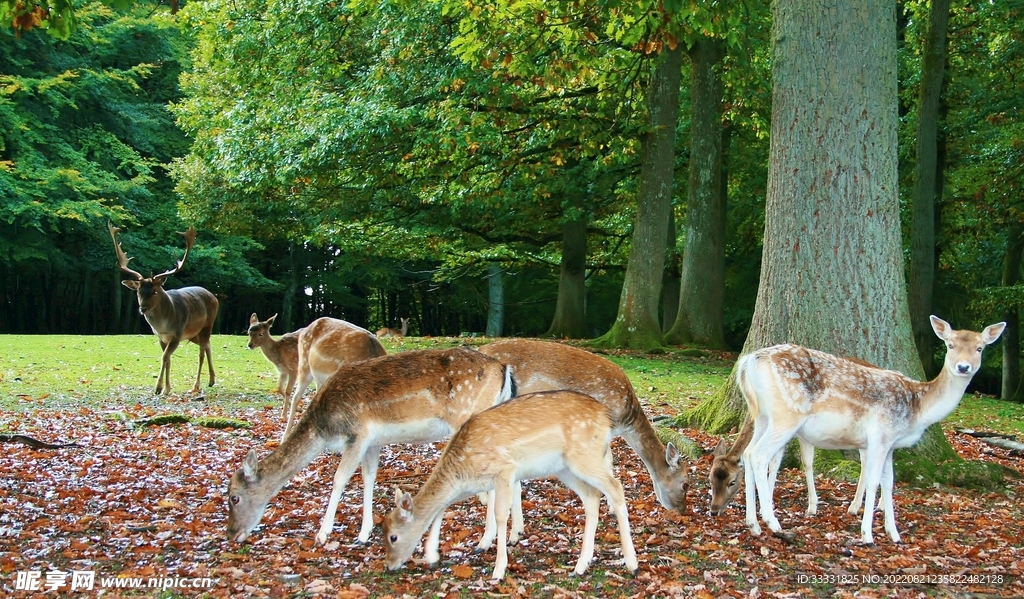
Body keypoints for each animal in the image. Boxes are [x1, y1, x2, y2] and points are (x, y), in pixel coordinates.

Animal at [108, 221, 219, 395]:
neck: (164, 326)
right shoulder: (160, 337)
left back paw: (196, 385)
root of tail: (214, 297)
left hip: (208, 325)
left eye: (154, 291)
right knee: (208, 346)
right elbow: (168, 359)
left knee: (201, 352)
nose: (143, 308)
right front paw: (167, 389)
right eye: (138, 291)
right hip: (194, 334)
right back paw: (211, 380)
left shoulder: (177, 335)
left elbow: (165, 357)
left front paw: (158, 388)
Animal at [225, 346, 513, 546]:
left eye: (234, 497)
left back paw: (486, 540)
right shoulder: (373, 442)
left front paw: (322, 534)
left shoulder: (358, 434)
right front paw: (364, 533)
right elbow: (368, 477)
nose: (231, 534)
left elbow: (340, 479)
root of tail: (502, 367)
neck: (326, 427)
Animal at [382, 390, 639, 580]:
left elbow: (499, 514)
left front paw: (498, 570)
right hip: (564, 468)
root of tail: (607, 418)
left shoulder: (504, 470)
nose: (389, 566)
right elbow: (441, 509)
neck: (462, 472)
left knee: (616, 487)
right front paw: (432, 557)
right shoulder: (476, 484)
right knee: (592, 496)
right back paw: (581, 566)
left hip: (585, 456)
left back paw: (632, 564)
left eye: (393, 537)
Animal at [473, 338, 686, 552]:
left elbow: (609, 461)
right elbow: (606, 461)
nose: (683, 510)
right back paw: (496, 535)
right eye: (685, 483)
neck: (626, 420)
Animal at [738, 316, 1005, 545]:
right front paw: (867, 535)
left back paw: (753, 524)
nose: (963, 367)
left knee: (747, 453)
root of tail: (748, 362)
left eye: (980, 348)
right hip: (787, 414)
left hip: (762, 416)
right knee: (759, 454)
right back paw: (772, 522)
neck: (917, 409)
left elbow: (889, 482)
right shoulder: (880, 435)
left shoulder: (890, 444)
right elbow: (873, 481)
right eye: (950, 345)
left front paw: (893, 534)